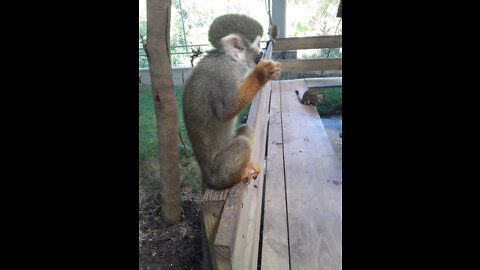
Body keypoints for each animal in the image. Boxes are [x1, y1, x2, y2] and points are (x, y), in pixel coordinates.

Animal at [184, 14, 282, 190]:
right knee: (242, 143)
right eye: (258, 44)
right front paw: (261, 74)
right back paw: (236, 177)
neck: (228, 56)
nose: (262, 52)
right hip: (218, 172)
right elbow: (227, 110)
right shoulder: (225, 72)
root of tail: (207, 178)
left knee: (245, 132)